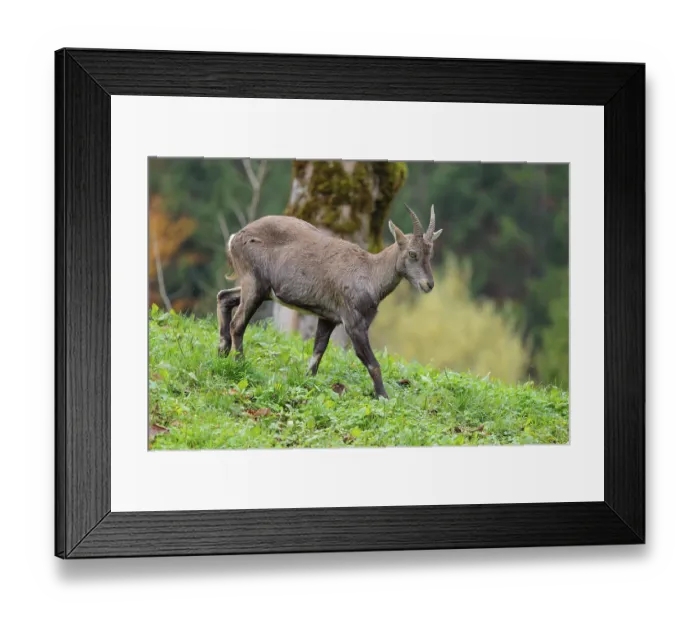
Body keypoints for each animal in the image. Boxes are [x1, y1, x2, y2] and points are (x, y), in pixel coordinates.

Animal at [216, 204, 443, 399]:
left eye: (430, 253)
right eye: (412, 253)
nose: (428, 284)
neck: (370, 274)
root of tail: (235, 238)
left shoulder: (328, 318)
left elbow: (317, 352)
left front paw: (307, 383)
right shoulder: (353, 323)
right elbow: (372, 363)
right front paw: (383, 397)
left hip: (260, 290)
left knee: (223, 297)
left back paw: (222, 352)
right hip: (254, 285)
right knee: (238, 323)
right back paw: (240, 363)